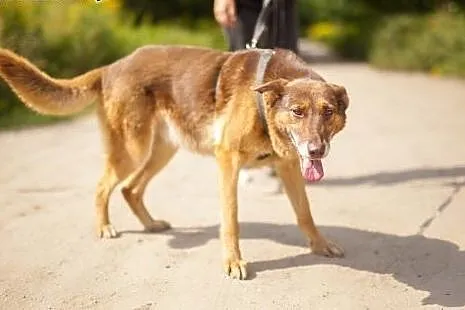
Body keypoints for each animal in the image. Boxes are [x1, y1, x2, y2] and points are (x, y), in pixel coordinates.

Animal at [0, 44, 348, 280]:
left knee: (130, 189)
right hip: (133, 150)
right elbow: (231, 220)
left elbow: (305, 213)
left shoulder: (289, 167)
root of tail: (111, 66)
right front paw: (233, 261)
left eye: (328, 112)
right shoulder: (228, 163)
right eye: (298, 112)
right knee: (102, 187)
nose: (316, 151)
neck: (264, 101)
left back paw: (151, 224)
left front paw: (320, 245)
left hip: (161, 151)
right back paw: (104, 227)